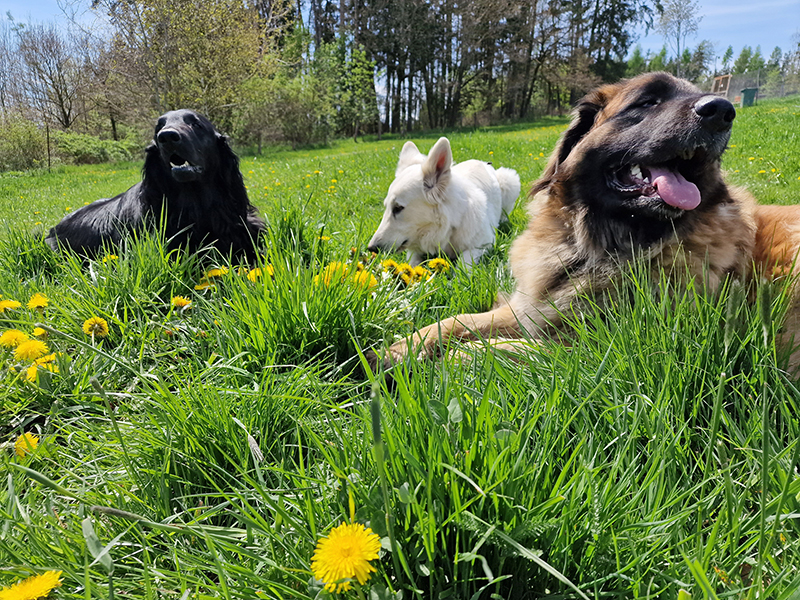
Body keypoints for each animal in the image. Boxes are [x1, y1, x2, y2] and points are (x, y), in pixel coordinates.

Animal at [367, 137, 520, 268]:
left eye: (398, 208)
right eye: (386, 207)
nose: (371, 248)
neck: (447, 229)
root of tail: (483, 162)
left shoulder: (483, 244)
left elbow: (463, 264)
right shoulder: (414, 251)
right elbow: (412, 264)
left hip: (509, 180)